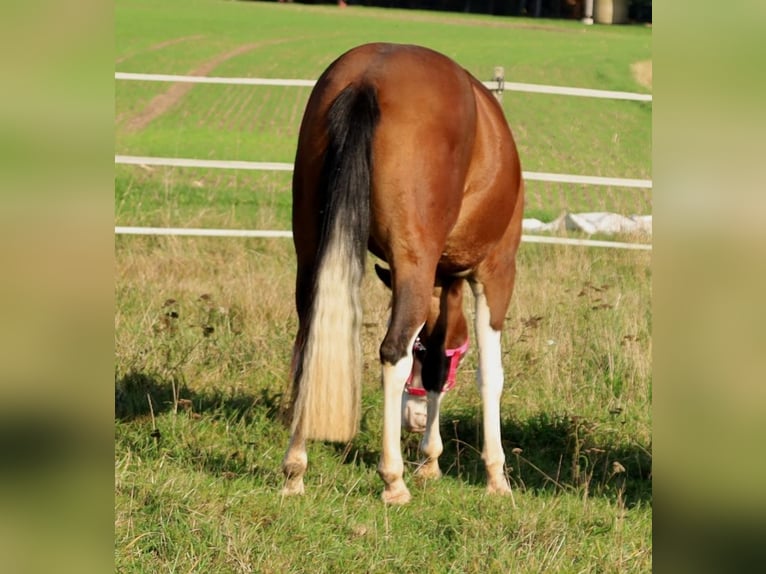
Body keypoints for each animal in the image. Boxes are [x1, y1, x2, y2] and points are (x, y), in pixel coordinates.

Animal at [284, 44, 524, 504]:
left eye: (426, 350)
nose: (411, 420)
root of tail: (368, 77)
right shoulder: (494, 274)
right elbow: (491, 376)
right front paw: (495, 475)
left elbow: (435, 373)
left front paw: (430, 459)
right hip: (415, 262)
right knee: (390, 351)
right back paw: (392, 480)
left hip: (310, 250)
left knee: (309, 342)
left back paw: (294, 470)